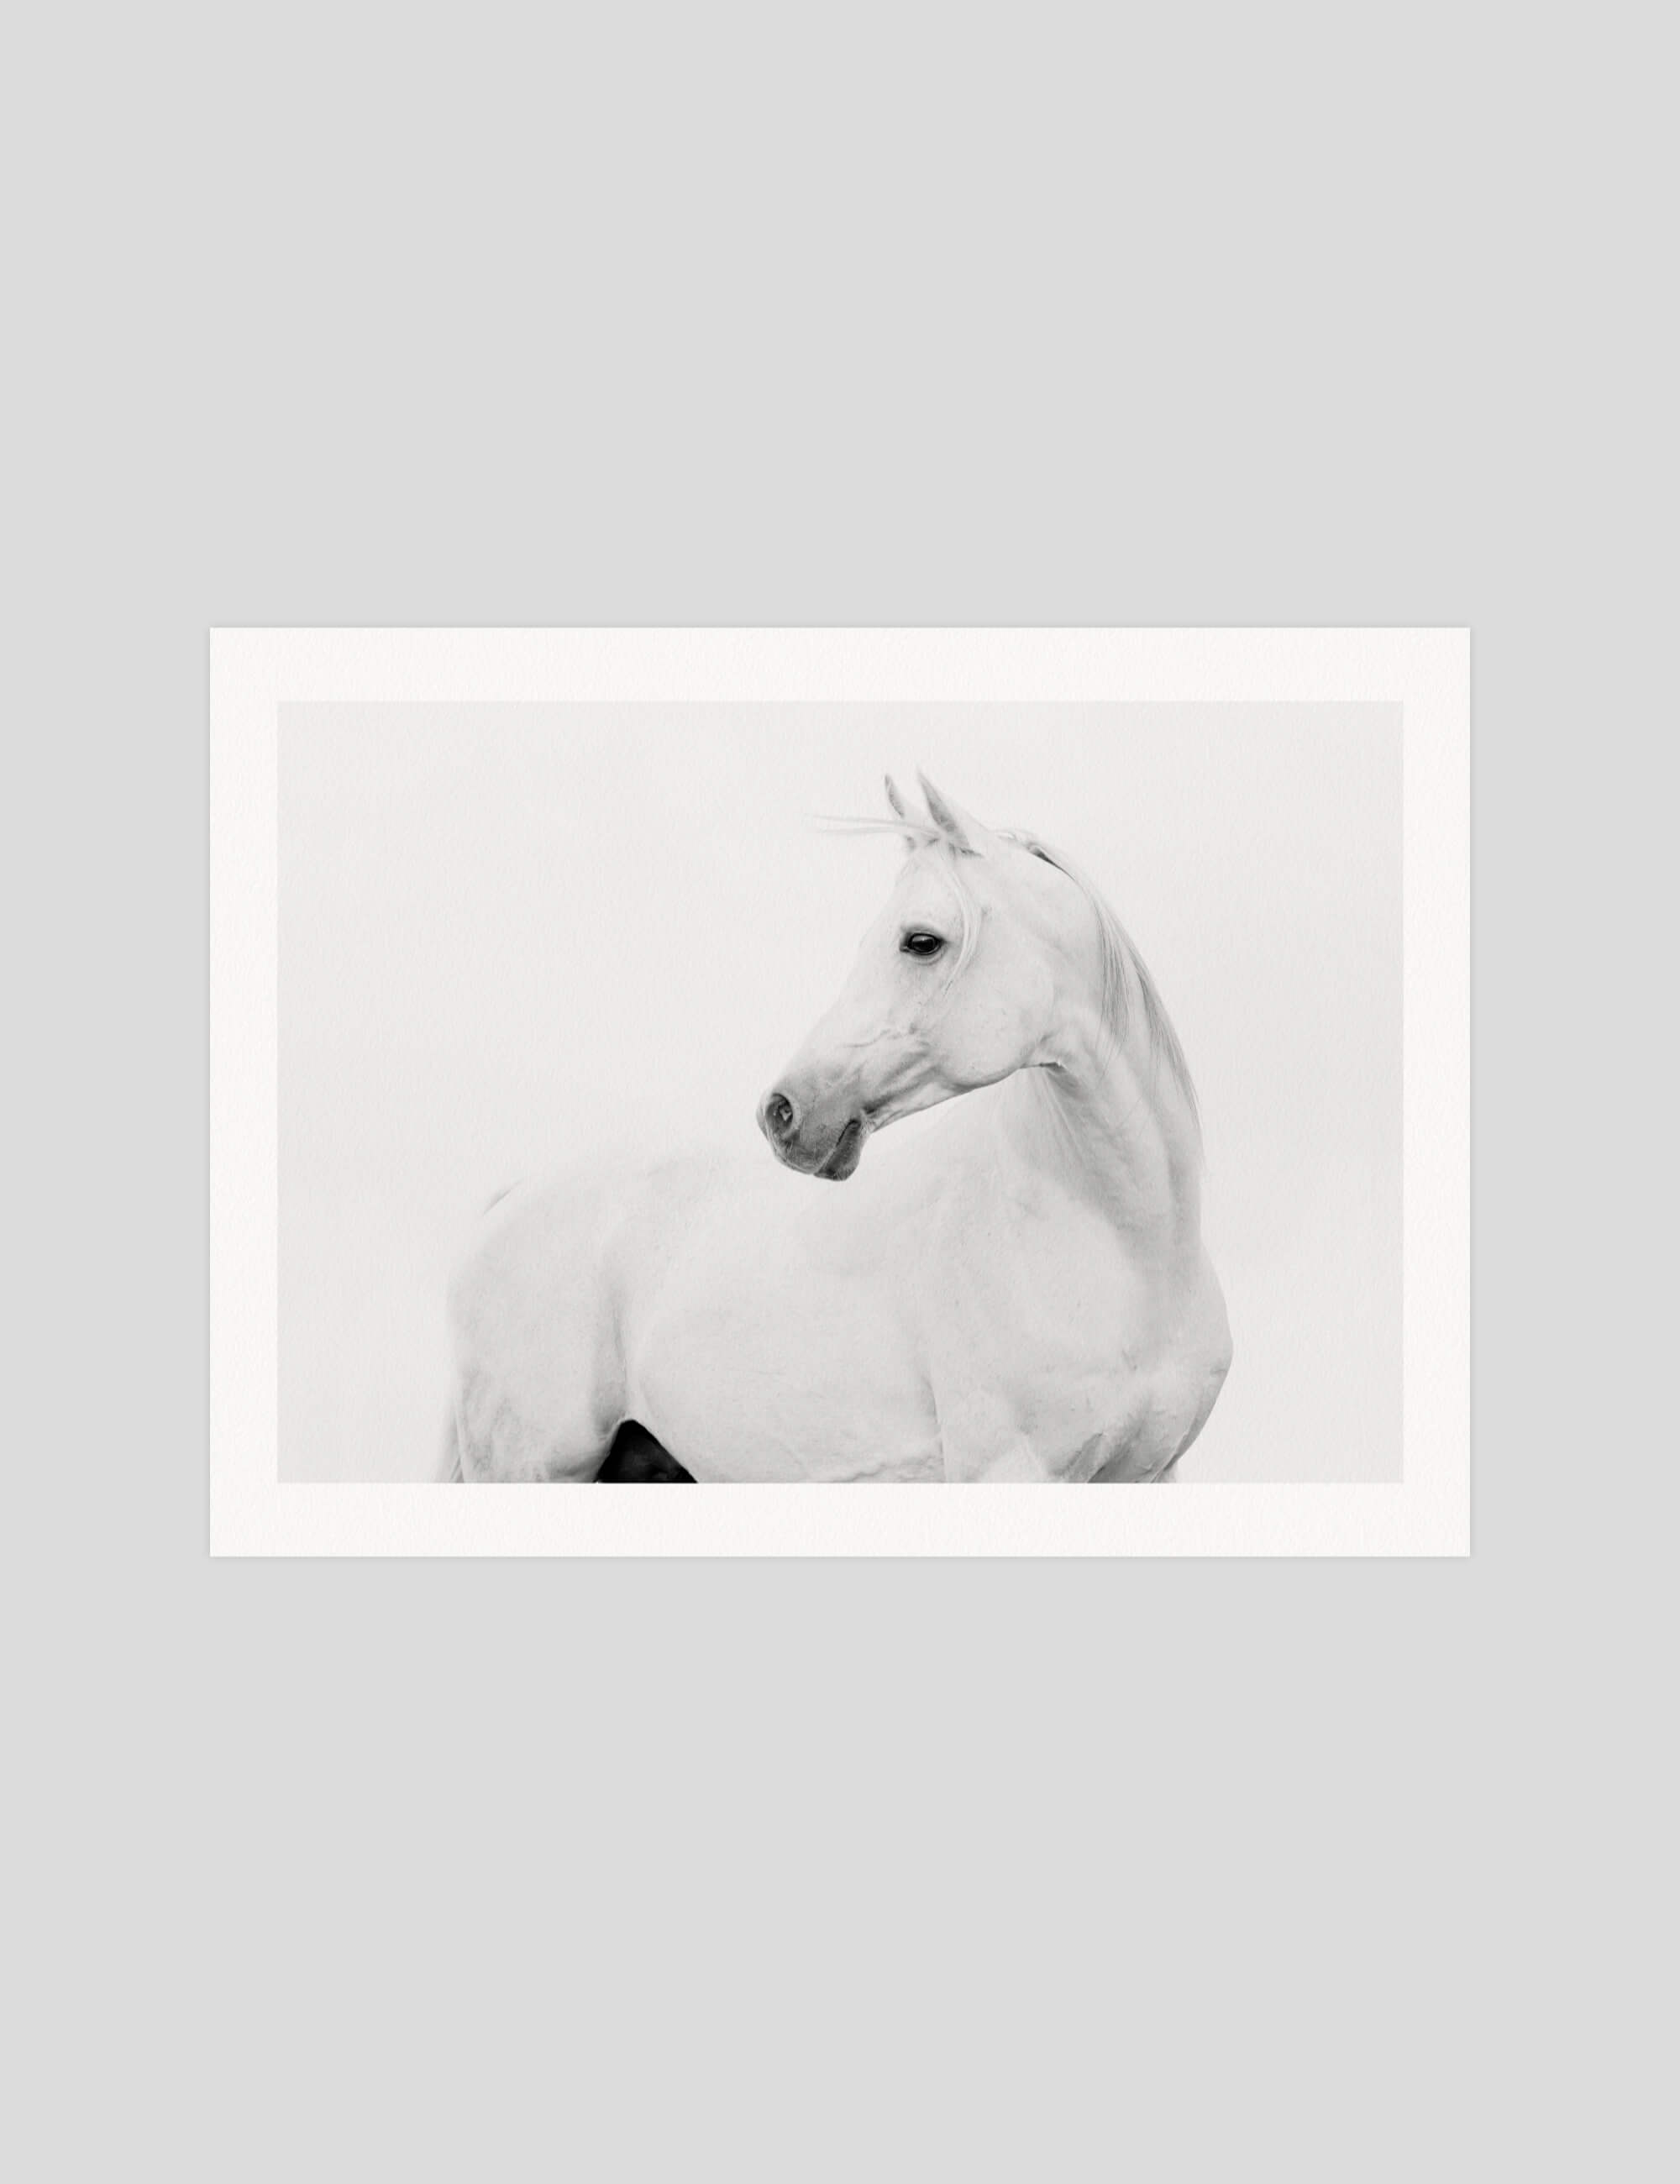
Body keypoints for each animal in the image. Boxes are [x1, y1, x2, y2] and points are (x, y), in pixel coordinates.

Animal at [442, 773, 1231, 1483]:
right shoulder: (1009, 1470)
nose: (783, 1111)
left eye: (921, 940)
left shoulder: (1152, 1475)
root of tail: (511, 1201)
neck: (1126, 1252)